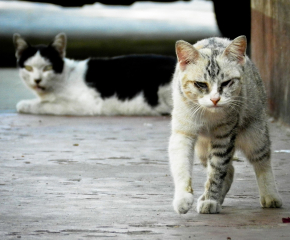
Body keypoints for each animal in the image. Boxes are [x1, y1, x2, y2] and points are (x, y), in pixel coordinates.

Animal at [13, 33, 176, 116]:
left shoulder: (85, 105)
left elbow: (44, 105)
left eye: (48, 67)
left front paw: (26, 104)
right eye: (28, 68)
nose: (37, 80)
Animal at [169, 35, 282, 214]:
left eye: (227, 83)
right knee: (230, 171)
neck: (208, 115)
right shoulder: (183, 132)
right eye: (201, 84)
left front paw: (210, 200)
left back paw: (270, 196)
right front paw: (183, 199)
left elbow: (216, 172)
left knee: (262, 161)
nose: (215, 99)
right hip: (203, 150)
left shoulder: (224, 136)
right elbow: (181, 165)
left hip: (255, 134)